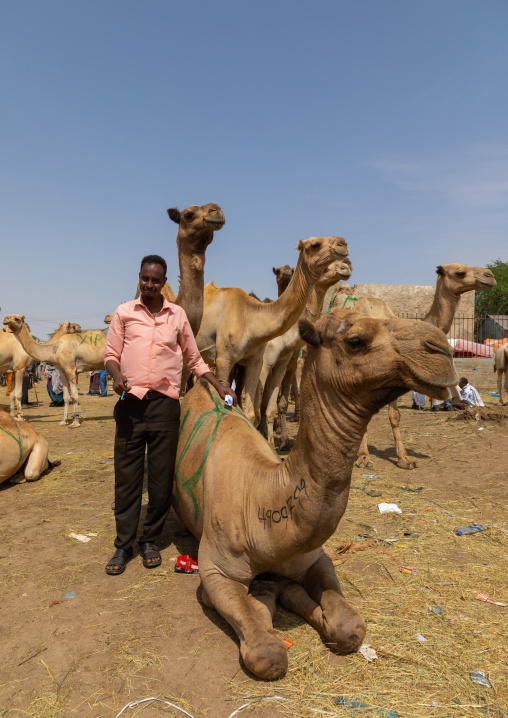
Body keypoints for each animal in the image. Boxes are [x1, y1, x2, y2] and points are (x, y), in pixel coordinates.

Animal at [173, 308, 458, 680]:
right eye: (356, 340)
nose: (442, 350)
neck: (260, 503)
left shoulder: (314, 557)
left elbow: (350, 627)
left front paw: (285, 594)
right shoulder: (217, 571)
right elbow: (267, 655)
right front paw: (264, 601)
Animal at [196, 236, 350, 419]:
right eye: (315, 245)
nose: (343, 244)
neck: (251, 319)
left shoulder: (260, 361)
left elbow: (255, 411)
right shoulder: (227, 359)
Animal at [256, 258, 353, 442]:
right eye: (325, 267)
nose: (346, 268)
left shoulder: (286, 363)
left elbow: (272, 403)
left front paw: (277, 440)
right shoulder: (266, 364)